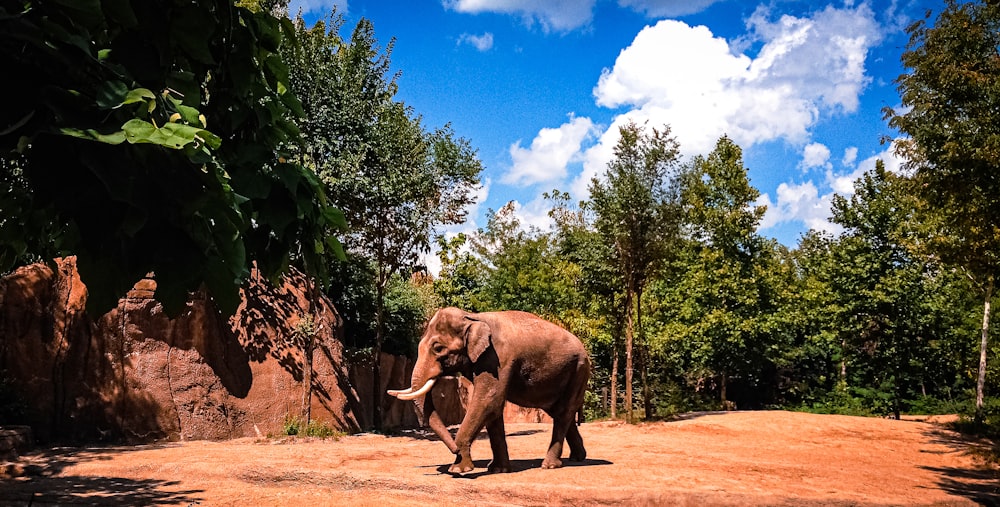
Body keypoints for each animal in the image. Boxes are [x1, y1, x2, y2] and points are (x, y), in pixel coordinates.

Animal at [386, 306, 588, 476]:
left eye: (438, 348)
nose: (455, 449)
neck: (472, 318)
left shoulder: (498, 359)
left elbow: (489, 400)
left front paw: (458, 470)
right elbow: (493, 409)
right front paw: (498, 470)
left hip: (579, 370)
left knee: (563, 412)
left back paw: (549, 465)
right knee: (559, 412)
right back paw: (577, 458)